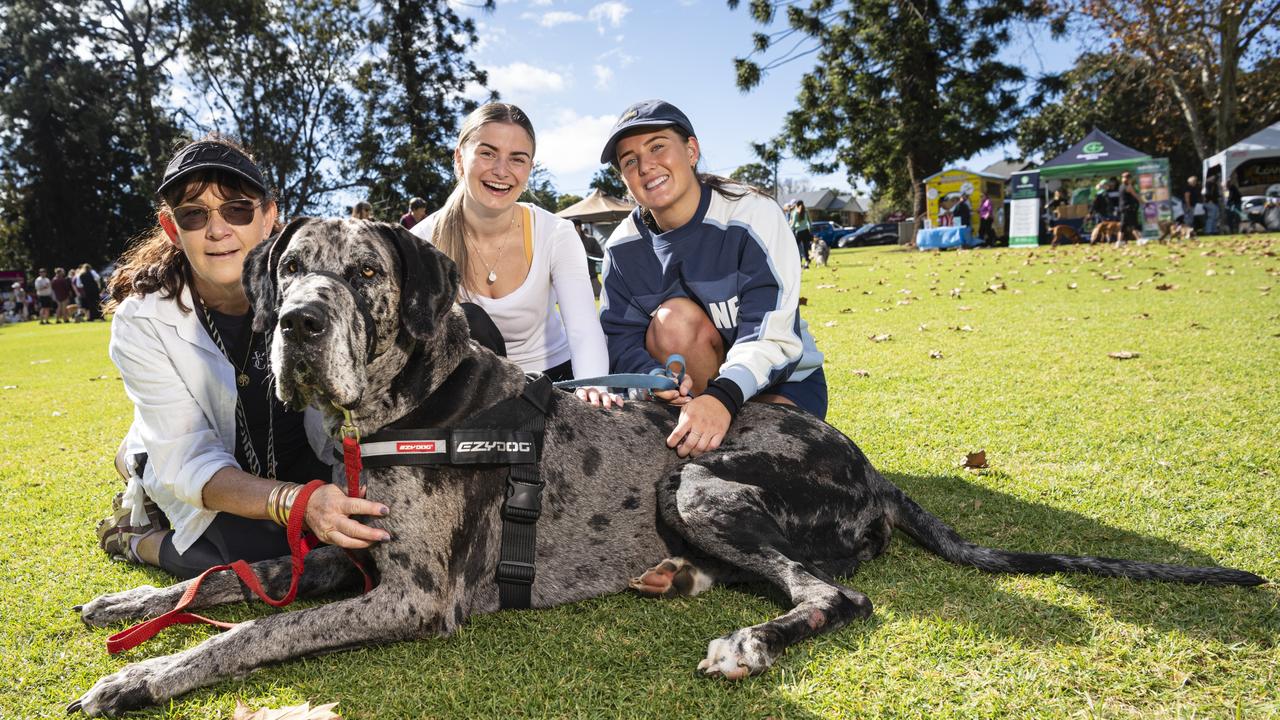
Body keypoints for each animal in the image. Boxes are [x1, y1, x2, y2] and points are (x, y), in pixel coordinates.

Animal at [72, 217, 1269, 712]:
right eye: (288, 272)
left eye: (363, 274)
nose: (299, 324)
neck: (412, 406)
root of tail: (877, 474)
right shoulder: (340, 556)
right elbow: (229, 576)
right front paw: (129, 598)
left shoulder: (412, 599)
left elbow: (250, 632)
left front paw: (141, 677)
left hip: (689, 479)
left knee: (837, 595)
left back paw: (748, 640)